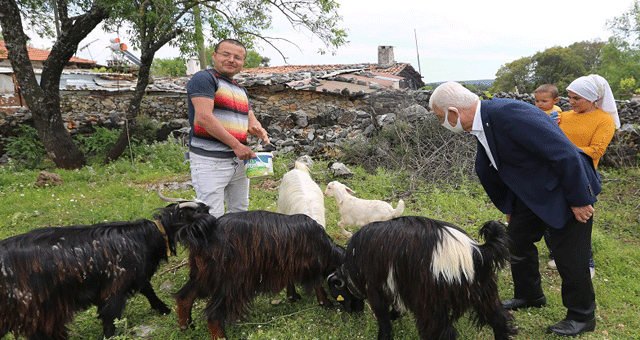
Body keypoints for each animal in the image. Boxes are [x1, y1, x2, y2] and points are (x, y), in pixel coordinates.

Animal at [0, 201, 209, 338]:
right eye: (198, 212)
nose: (210, 211)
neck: (145, 236)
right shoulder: (114, 286)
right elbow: (110, 316)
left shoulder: (136, 276)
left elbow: (148, 290)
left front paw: (164, 309)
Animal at [172, 211, 344, 338]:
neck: (327, 248)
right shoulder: (310, 265)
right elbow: (317, 285)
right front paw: (325, 303)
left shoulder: (287, 263)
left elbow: (290, 280)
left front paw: (293, 296)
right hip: (233, 279)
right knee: (213, 315)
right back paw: (220, 336)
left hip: (203, 273)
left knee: (184, 296)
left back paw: (184, 325)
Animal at [328, 216, 516, 338]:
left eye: (339, 294)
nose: (352, 313)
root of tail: (475, 252)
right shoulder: (397, 284)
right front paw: (395, 315)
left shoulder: (377, 289)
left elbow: (383, 321)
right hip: (483, 292)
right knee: (499, 320)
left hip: (431, 303)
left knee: (444, 333)